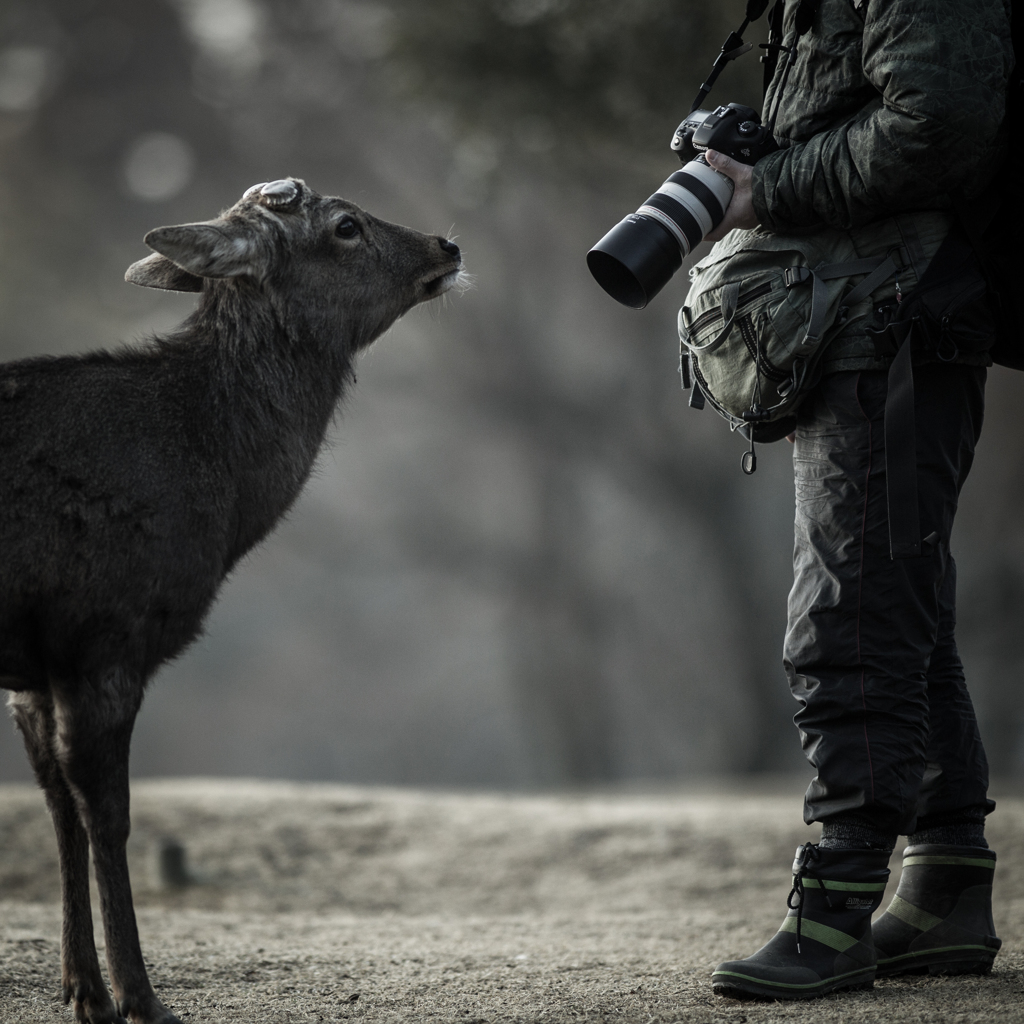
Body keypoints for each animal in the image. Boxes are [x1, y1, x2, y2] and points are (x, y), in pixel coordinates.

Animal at [0, 178, 464, 1024]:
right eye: (344, 226)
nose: (447, 245)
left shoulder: (35, 669)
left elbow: (56, 808)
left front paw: (82, 990)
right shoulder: (105, 635)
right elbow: (107, 813)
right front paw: (139, 997)